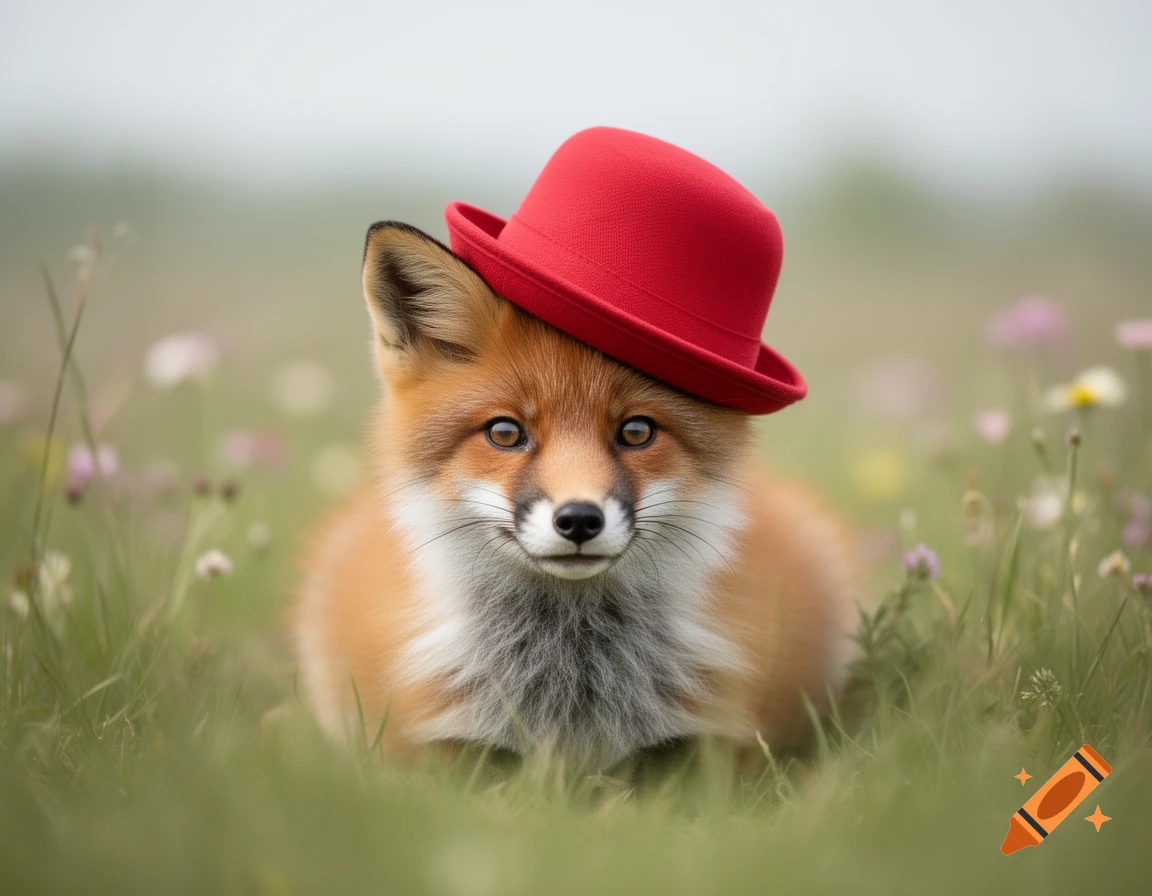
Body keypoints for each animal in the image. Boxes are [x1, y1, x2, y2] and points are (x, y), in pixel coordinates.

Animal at [293, 221, 864, 771]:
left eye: (636, 431)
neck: (571, 679)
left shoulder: (713, 748)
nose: (579, 521)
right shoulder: (431, 750)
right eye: (505, 433)